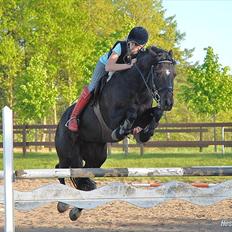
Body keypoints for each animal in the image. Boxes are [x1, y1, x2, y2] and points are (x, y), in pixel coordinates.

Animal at [55, 45, 177, 221]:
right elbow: (130, 115)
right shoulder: (112, 118)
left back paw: (75, 210)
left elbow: (156, 113)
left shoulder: (144, 113)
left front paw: (145, 133)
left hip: (96, 156)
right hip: (68, 152)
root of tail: (61, 121)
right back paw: (63, 204)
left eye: (174, 74)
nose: (168, 103)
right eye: (158, 73)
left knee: (82, 177)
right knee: (61, 168)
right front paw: (122, 131)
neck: (137, 88)